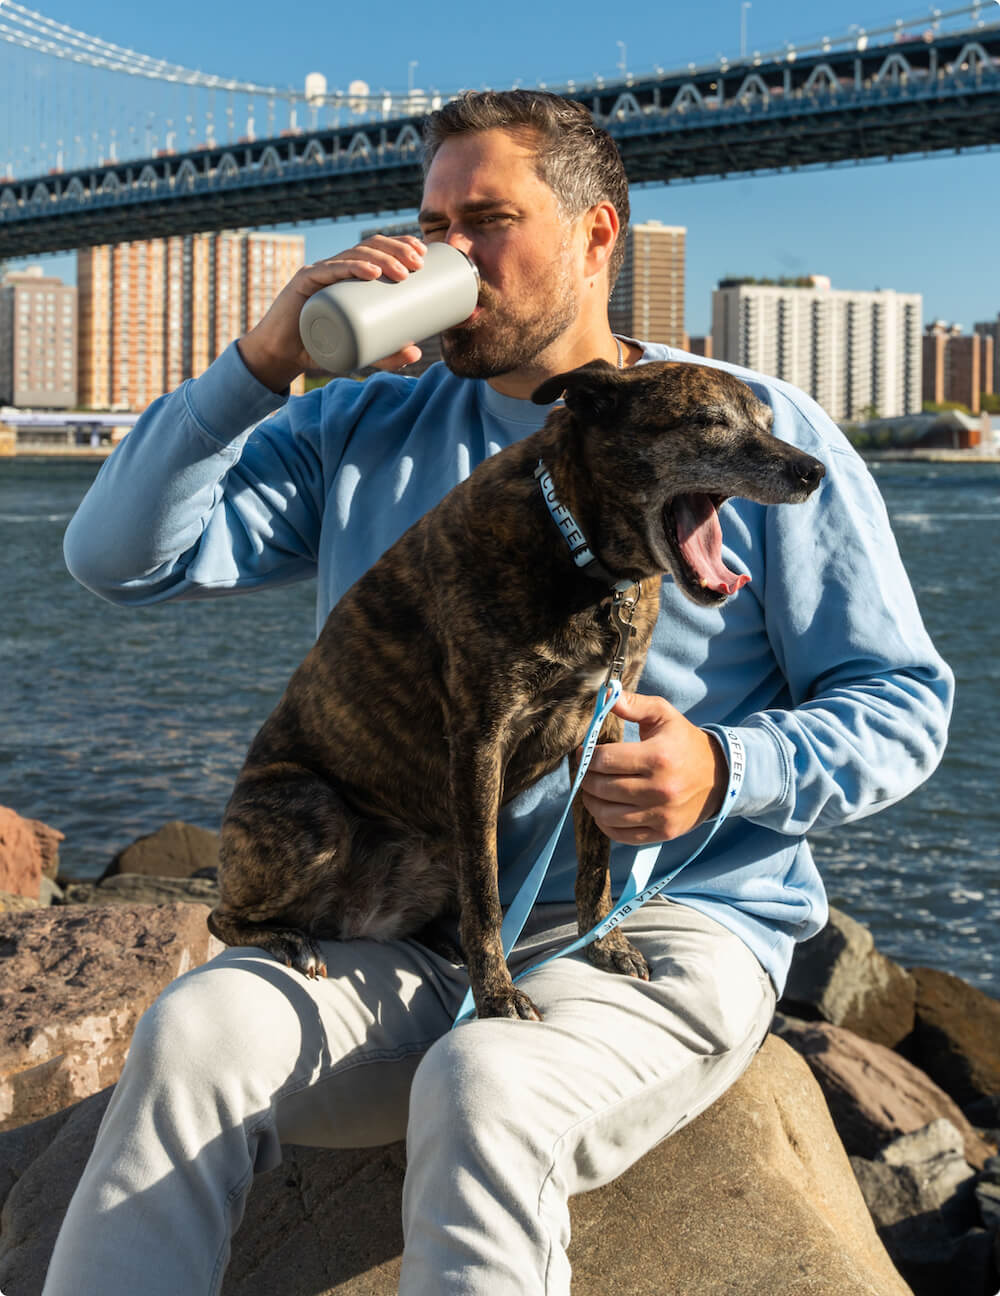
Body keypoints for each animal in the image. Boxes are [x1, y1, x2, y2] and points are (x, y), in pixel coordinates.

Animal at [207, 360, 823, 1016]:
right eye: (708, 421)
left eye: (768, 423)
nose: (814, 472)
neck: (583, 557)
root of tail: (354, 919)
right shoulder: (481, 741)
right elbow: (484, 892)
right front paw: (496, 992)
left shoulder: (603, 725)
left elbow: (595, 864)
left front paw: (604, 944)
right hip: (312, 810)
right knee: (223, 916)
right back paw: (292, 941)